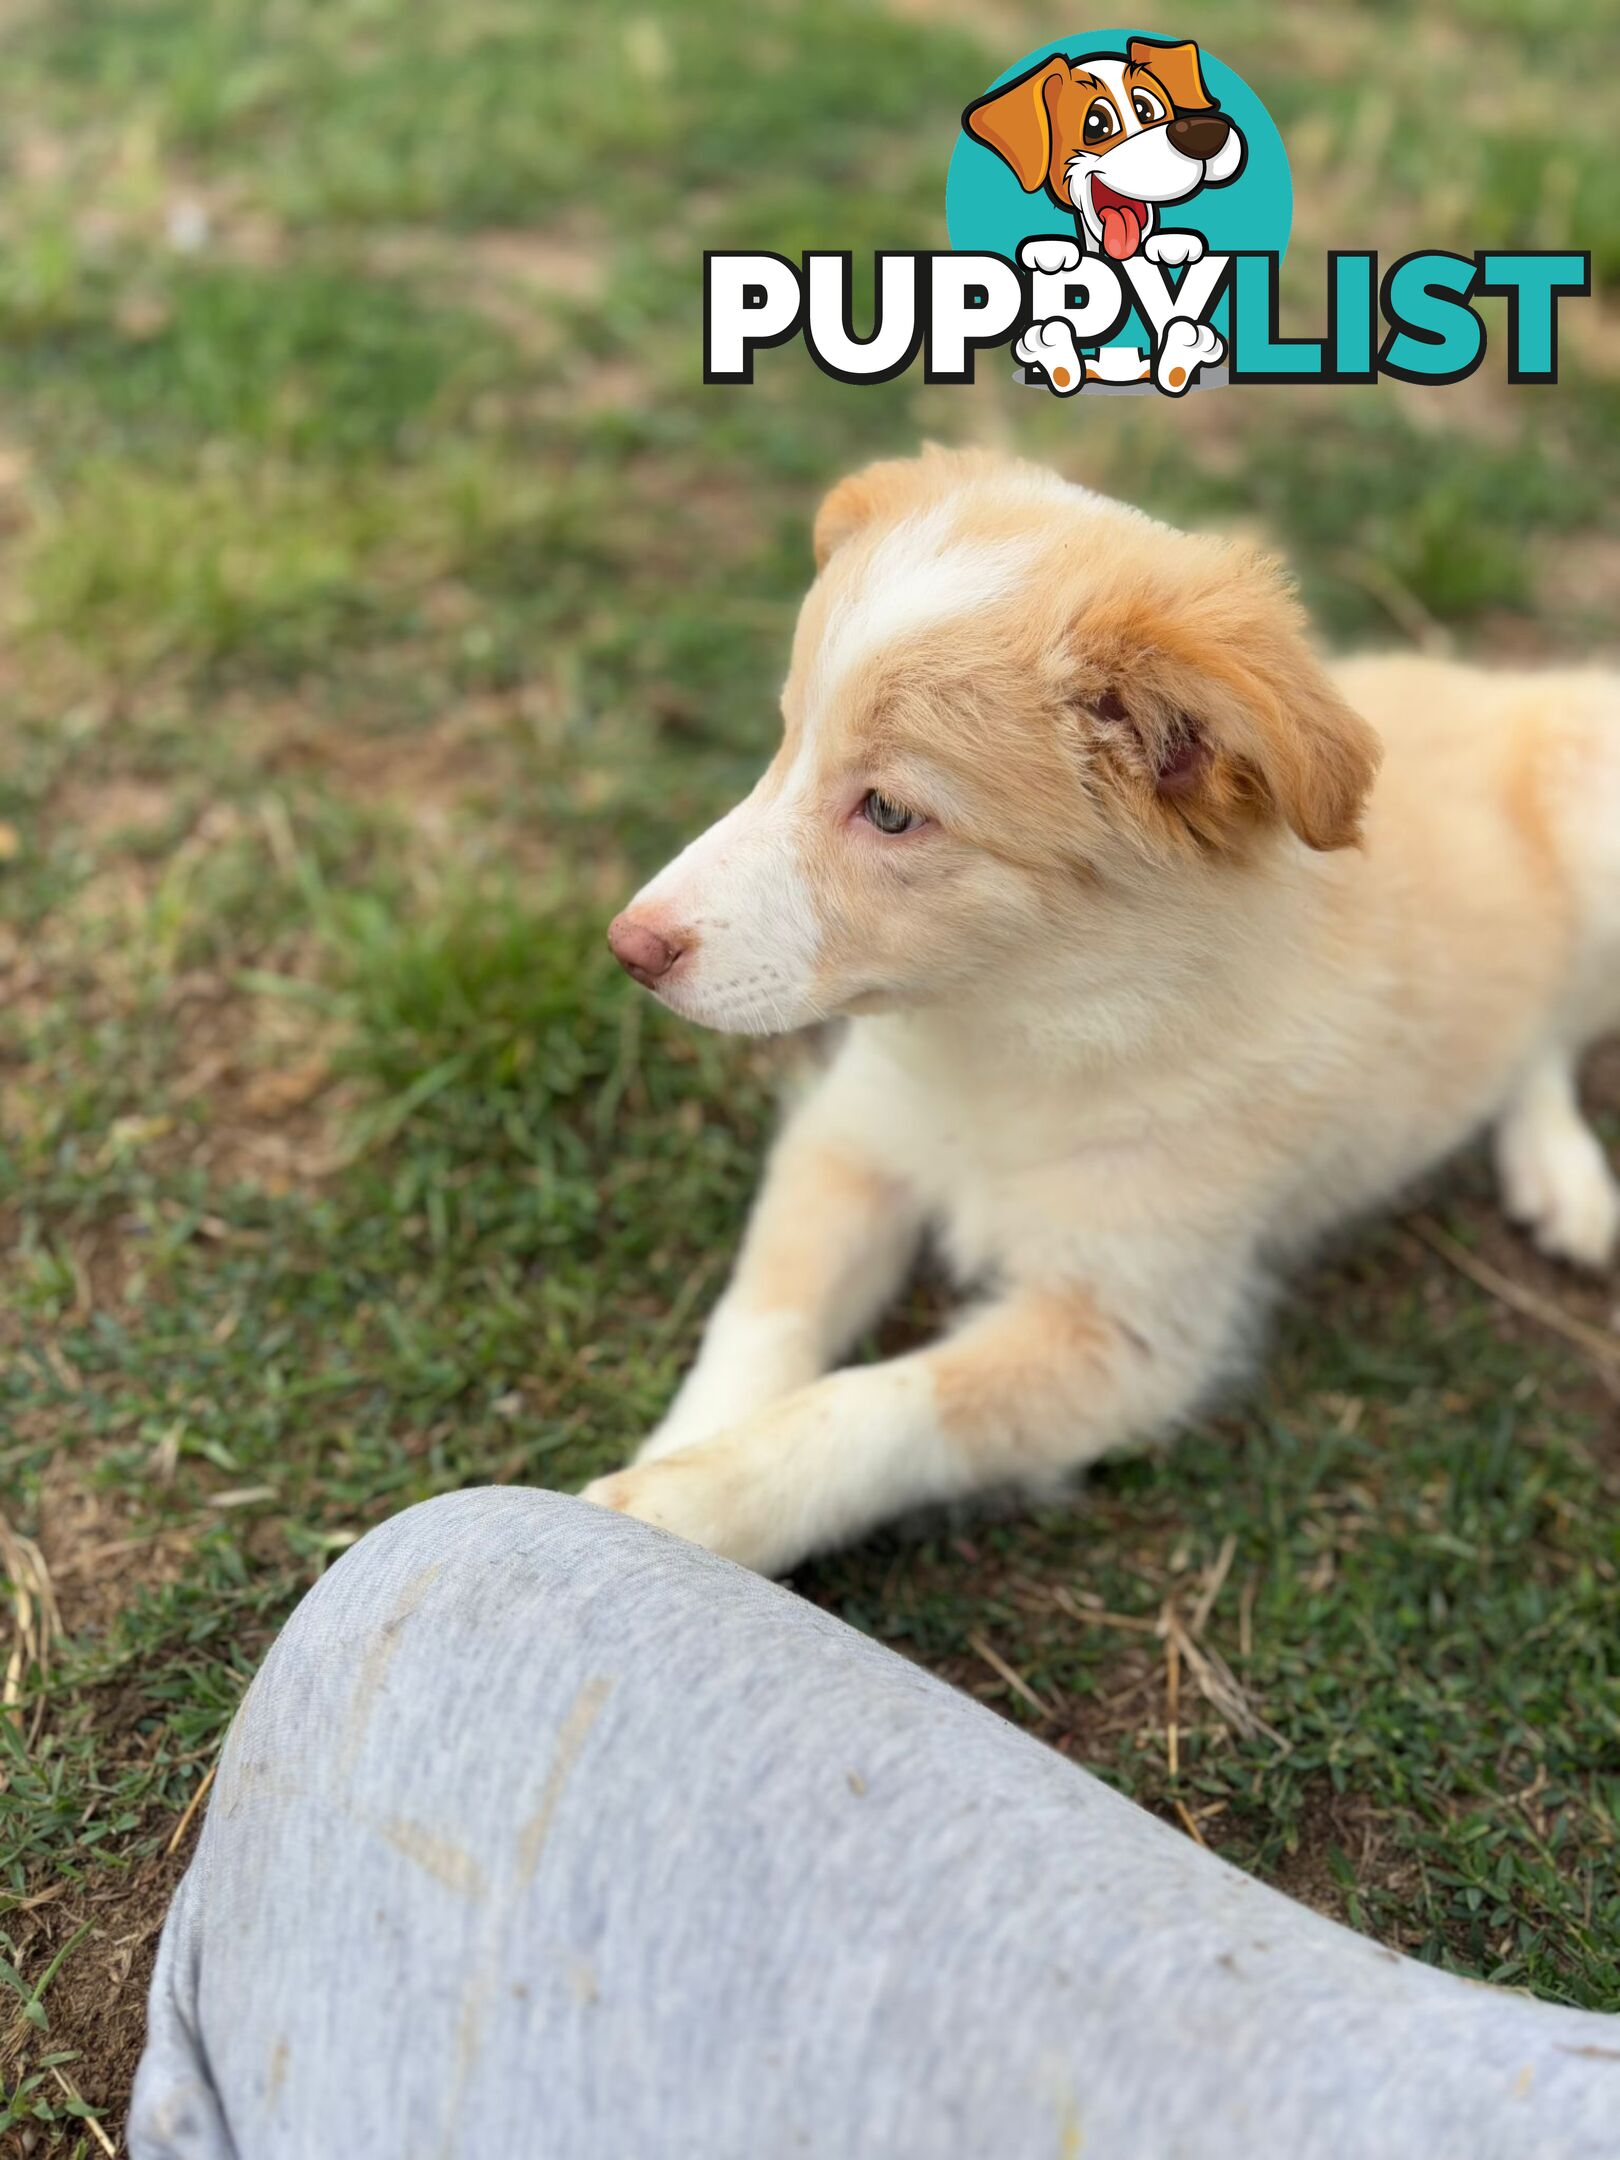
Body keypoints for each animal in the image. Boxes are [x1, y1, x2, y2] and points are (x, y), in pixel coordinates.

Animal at [587, 447, 1620, 1581]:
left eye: (892, 811)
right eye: (785, 743)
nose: (630, 946)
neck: (1013, 1033)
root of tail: (1505, 686)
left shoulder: (1131, 1327)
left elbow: (876, 1406)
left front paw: (684, 1508)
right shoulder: (852, 1144)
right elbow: (762, 1320)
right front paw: (661, 1473)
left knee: (1553, 1030)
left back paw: (1566, 1177)